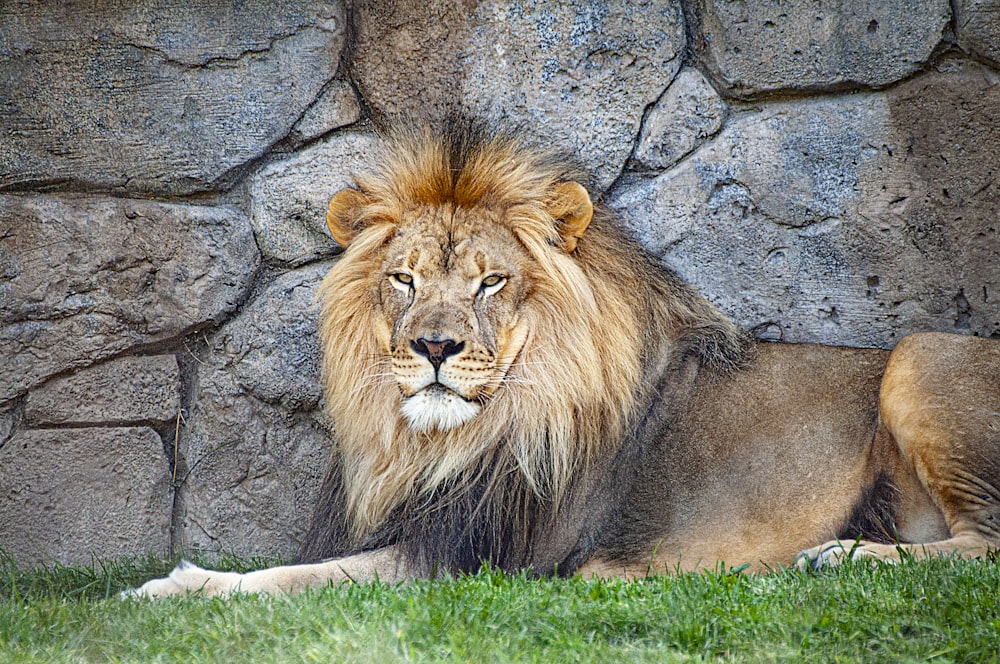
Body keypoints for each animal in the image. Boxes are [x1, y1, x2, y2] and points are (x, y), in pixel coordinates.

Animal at [131, 123, 1000, 596]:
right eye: (404, 279)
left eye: (490, 282)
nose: (435, 347)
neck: (440, 443)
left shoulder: (475, 561)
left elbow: (296, 579)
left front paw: (177, 586)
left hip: (919, 353)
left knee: (986, 547)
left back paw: (841, 556)